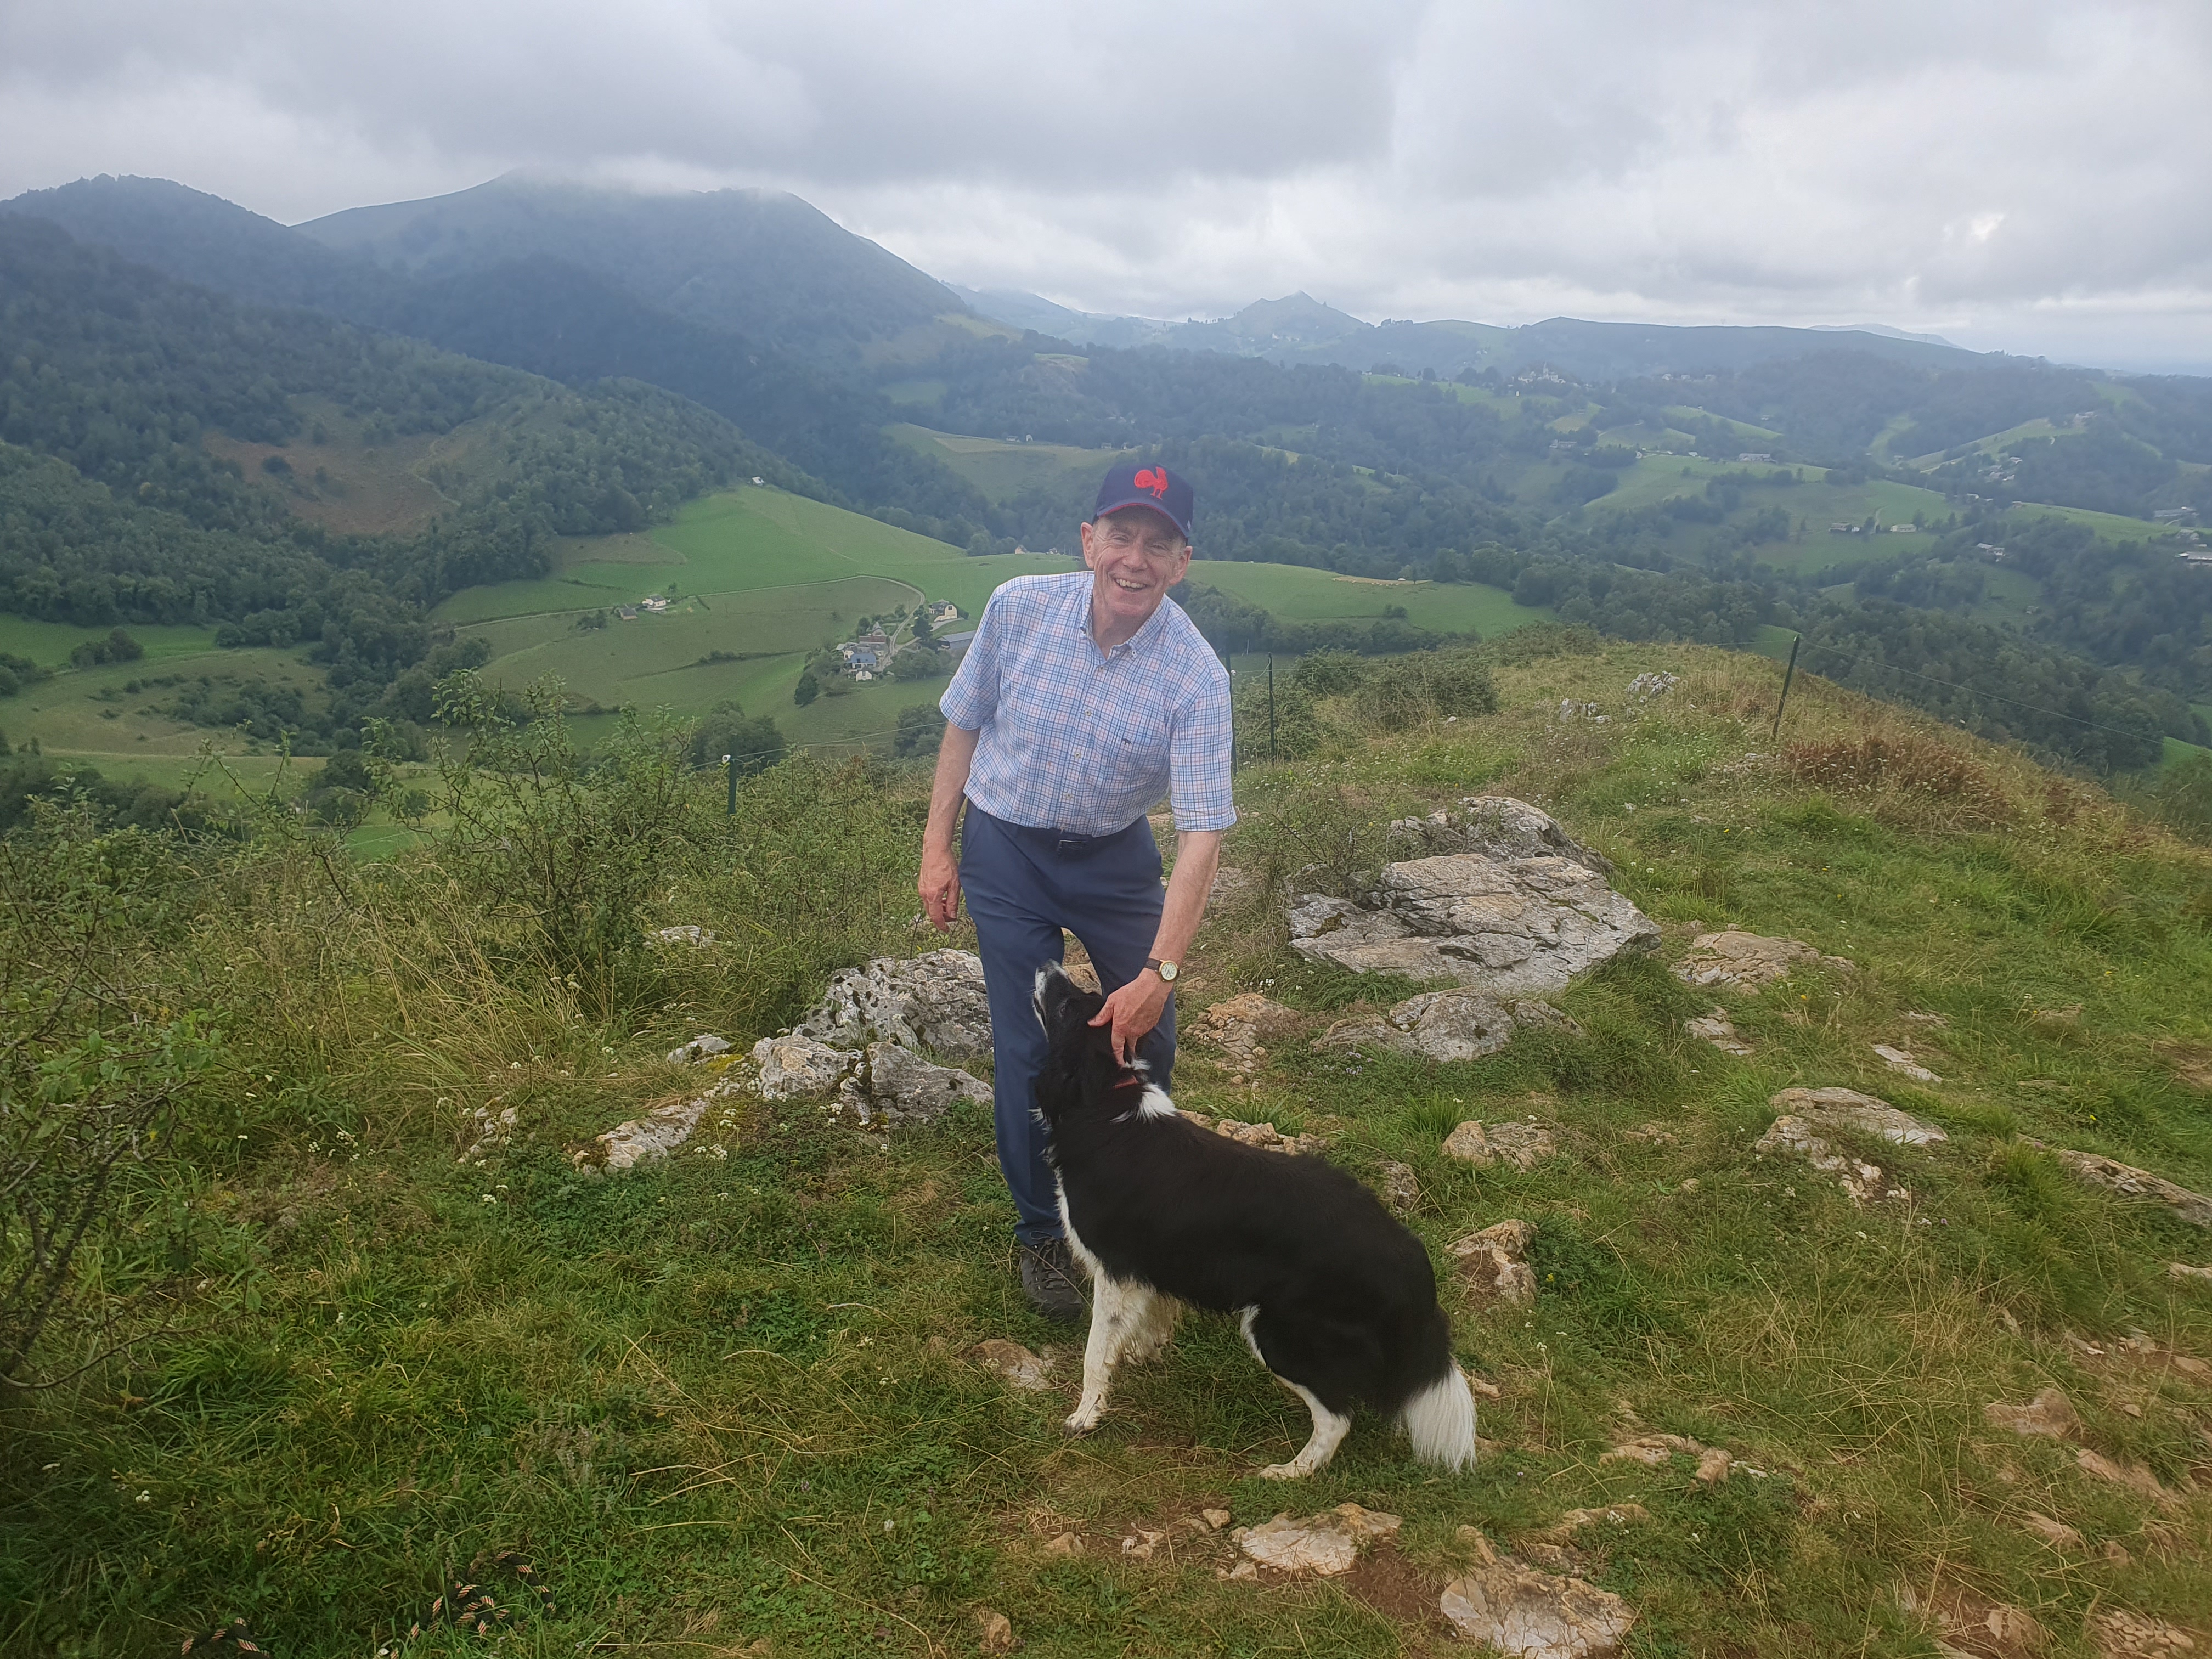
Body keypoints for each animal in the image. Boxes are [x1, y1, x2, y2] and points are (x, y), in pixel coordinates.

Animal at [1031, 965, 1476, 1479]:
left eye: (1067, 1006)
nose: (1047, 967)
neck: (1104, 1101)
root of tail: (1409, 1258)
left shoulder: (1114, 1270)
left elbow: (1095, 1351)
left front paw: (1084, 1416)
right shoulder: (1146, 1272)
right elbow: (1146, 1322)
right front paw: (1142, 1354)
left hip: (1280, 1331)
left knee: (1336, 1416)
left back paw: (1288, 1473)